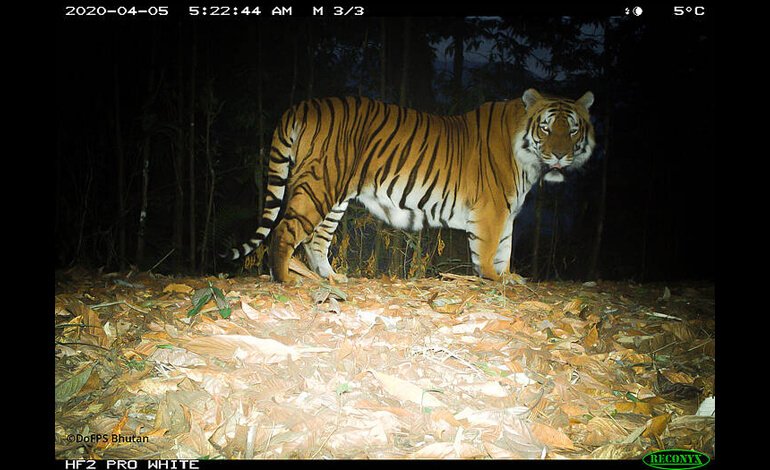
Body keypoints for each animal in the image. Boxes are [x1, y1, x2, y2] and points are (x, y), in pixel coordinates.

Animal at [227, 89, 595, 283]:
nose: (560, 154)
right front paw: (494, 277)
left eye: (573, 129)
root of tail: (302, 105)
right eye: (546, 128)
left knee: (316, 239)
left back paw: (331, 277)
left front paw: (506, 277)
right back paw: (286, 279)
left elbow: (505, 246)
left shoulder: (507, 211)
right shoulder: (492, 208)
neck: (529, 161)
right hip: (319, 184)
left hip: (334, 195)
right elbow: (490, 249)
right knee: (285, 230)